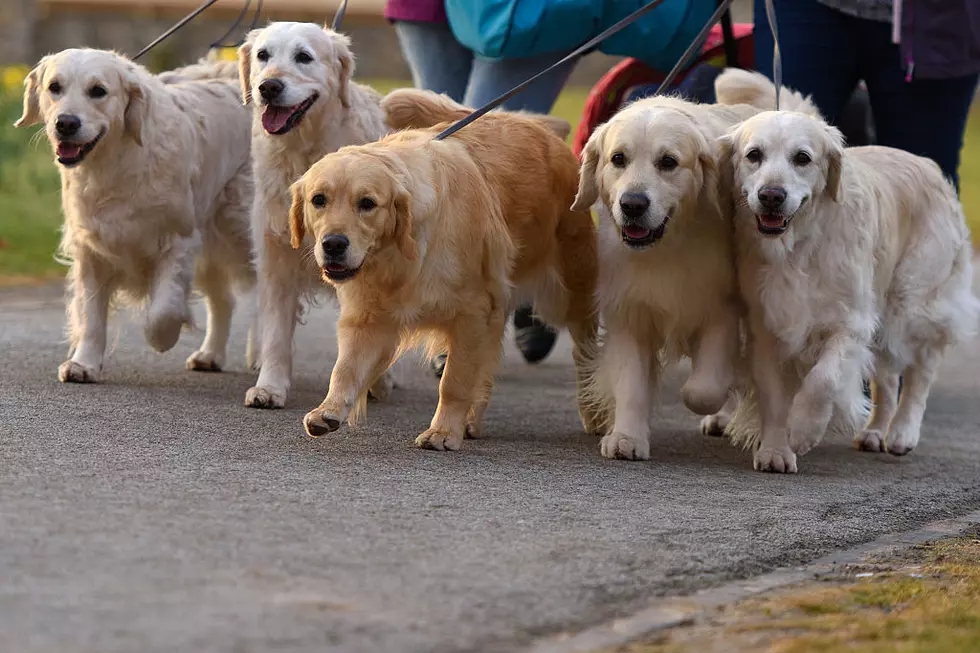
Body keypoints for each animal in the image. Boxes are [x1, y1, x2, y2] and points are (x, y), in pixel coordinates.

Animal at [15, 49, 256, 382]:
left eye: (98, 91)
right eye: (54, 87)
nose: (66, 123)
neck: (114, 166)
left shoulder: (178, 240)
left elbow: (162, 311)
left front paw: (162, 339)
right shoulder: (91, 251)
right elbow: (90, 316)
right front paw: (83, 363)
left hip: (240, 226)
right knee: (224, 299)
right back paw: (210, 355)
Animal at [237, 21, 394, 408]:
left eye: (303, 57)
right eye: (263, 55)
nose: (268, 87)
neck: (303, 154)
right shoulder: (276, 255)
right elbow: (276, 332)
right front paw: (269, 387)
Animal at [720, 109, 980, 472]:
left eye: (802, 158)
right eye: (753, 155)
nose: (772, 195)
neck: (799, 247)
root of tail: (928, 165)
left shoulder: (850, 323)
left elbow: (823, 380)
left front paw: (803, 429)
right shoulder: (766, 327)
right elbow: (773, 395)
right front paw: (775, 450)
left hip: (911, 305)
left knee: (921, 370)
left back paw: (902, 432)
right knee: (888, 378)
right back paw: (874, 432)